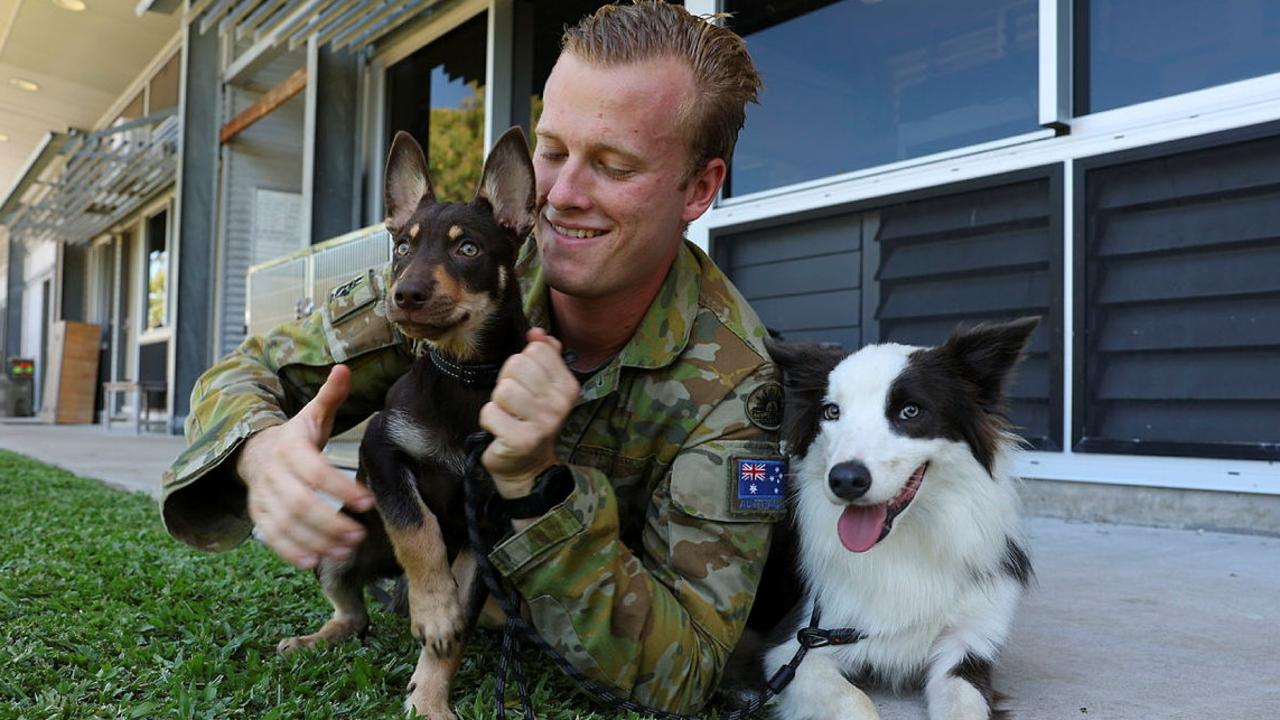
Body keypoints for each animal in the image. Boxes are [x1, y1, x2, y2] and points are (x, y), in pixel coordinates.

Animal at [277, 126, 537, 712]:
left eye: (469, 248)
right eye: (401, 247)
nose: (405, 295)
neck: (465, 374)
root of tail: (389, 579)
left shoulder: (482, 522)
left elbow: (456, 620)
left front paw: (430, 701)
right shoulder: (382, 451)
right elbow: (418, 529)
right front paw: (433, 609)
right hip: (338, 549)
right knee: (353, 613)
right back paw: (316, 638)